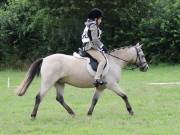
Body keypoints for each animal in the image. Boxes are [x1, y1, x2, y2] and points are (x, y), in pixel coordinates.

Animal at [16, 42, 149, 118]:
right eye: (142, 55)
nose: (146, 67)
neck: (114, 61)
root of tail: (45, 59)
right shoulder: (112, 85)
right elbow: (124, 96)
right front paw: (130, 111)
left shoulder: (101, 87)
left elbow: (94, 100)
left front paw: (89, 113)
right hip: (48, 82)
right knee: (39, 97)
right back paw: (33, 115)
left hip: (60, 83)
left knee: (60, 98)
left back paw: (72, 113)